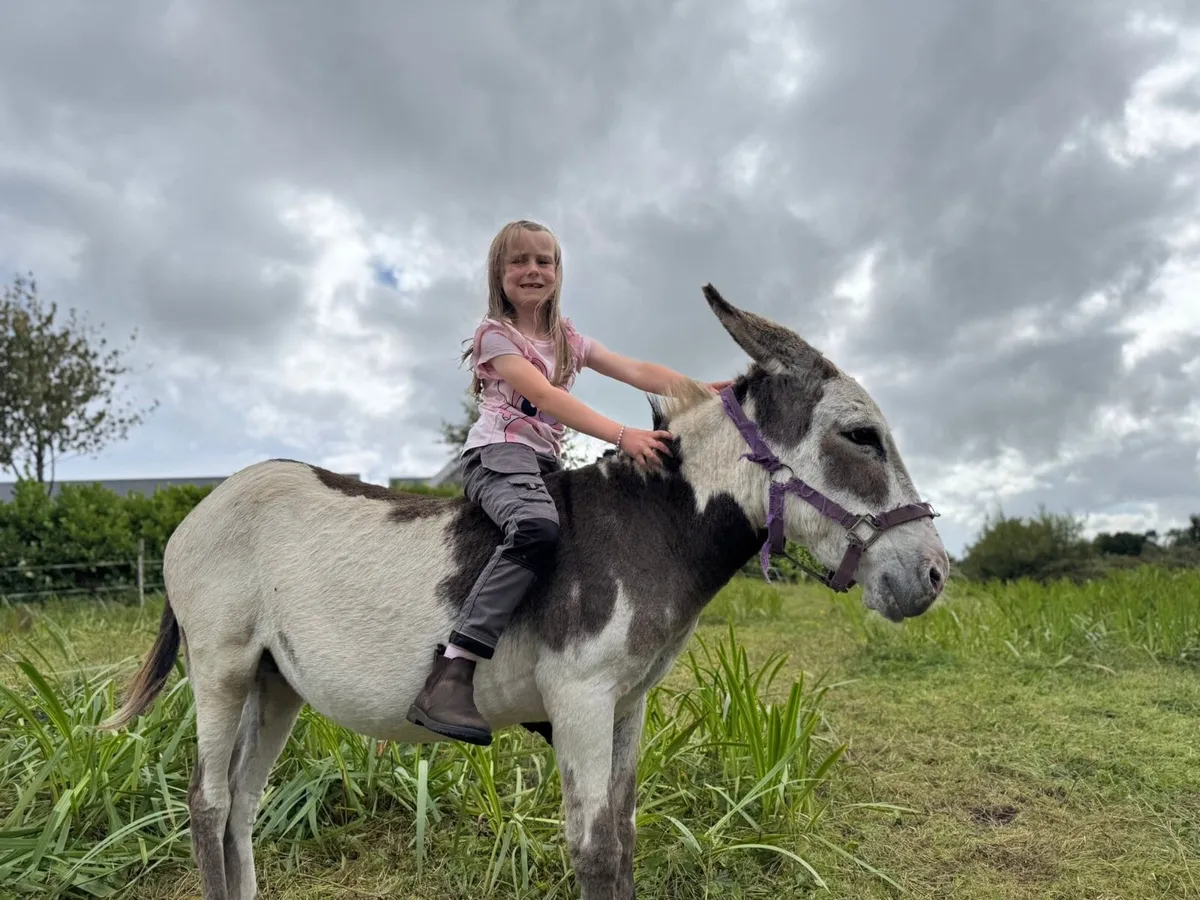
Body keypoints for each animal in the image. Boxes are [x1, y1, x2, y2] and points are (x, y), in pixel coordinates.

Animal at [102, 284, 949, 899]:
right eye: (861, 437)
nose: (936, 576)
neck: (651, 526)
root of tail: (202, 505)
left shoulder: (628, 702)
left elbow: (626, 837)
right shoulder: (579, 697)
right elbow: (595, 850)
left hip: (276, 682)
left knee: (242, 806)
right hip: (222, 668)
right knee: (210, 804)